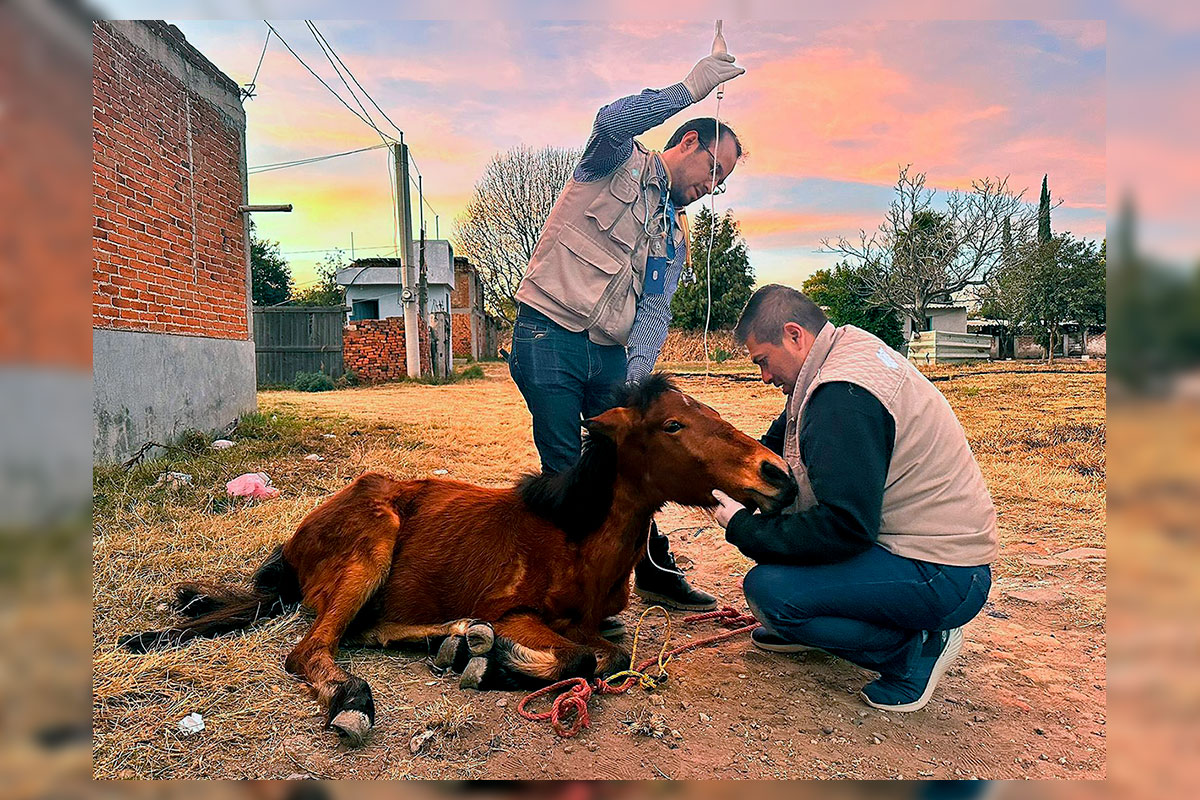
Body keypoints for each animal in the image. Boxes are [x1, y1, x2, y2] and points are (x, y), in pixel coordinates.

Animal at [119, 376, 796, 743]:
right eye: (673, 425)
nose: (779, 475)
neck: (575, 537)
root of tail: (297, 542)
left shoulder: (600, 619)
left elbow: (613, 649)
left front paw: (487, 656)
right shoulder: (519, 611)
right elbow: (591, 658)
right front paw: (500, 665)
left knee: (367, 630)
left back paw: (457, 641)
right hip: (372, 545)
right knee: (312, 647)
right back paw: (358, 699)